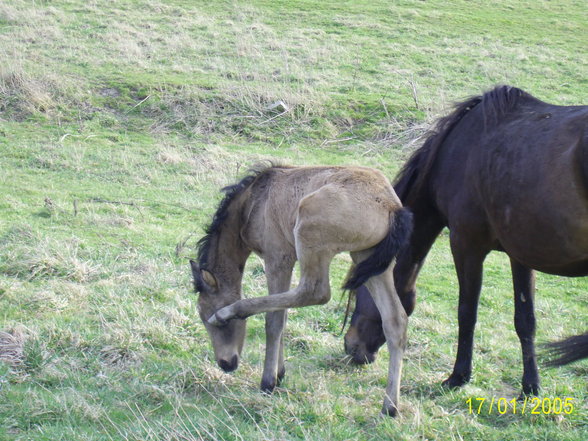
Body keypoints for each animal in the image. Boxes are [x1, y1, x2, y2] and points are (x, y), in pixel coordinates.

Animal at [191, 163, 412, 414]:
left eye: (208, 318)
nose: (226, 363)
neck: (253, 201)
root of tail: (391, 205)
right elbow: (283, 314)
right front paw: (279, 373)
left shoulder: (278, 258)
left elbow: (274, 321)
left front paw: (268, 381)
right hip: (368, 259)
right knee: (395, 320)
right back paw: (390, 406)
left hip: (311, 232)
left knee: (317, 292)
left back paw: (234, 311)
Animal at [344, 84, 588, 394]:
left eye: (359, 290)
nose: (351, 346)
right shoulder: (520, 254)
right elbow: (525, 319)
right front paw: (530, 386)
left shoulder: (466, 245)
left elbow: (466, 312)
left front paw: (458, 376)